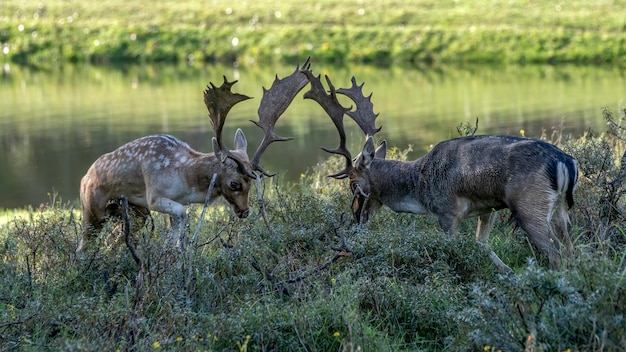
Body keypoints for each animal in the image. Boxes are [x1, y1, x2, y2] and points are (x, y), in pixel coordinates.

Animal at [79, 58, 310, 250]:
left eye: (252, 182)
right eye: (234, 184)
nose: (245, 211)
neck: (185, 177)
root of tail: (84, 177)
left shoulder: (169, 203)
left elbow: (177, 232)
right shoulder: (154, 196)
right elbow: (182, 218)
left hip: (134, 213)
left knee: (112, 242)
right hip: (92, 209)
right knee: (83, 246)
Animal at [302, 71, 576, 276]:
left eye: (352, 182)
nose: (357, 217)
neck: (420, 188)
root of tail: (565, 161)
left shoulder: (447, 211)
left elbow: (453, 250)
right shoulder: (487, 209)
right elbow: (482, 244)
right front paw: (507, 273)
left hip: (529, 205)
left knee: (557, 254)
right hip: (562, 209)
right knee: (572, 249)